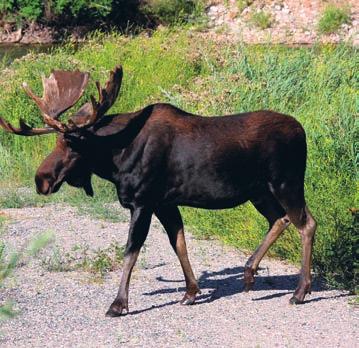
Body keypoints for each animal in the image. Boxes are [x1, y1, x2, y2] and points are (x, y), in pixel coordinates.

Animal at [1, 64, 320, 316]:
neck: (115, 159)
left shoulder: (142, 201)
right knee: (280, 219)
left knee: (307, 223)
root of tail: (303, 131)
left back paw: (300, 291)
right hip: (259, 191)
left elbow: (131, 250)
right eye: (56, 142)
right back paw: (250, 273)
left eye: (71, 143)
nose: (41, 179)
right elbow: (178, 243)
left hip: (286, 182)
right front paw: (190, 292)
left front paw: (118, 303)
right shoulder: (165, 202)